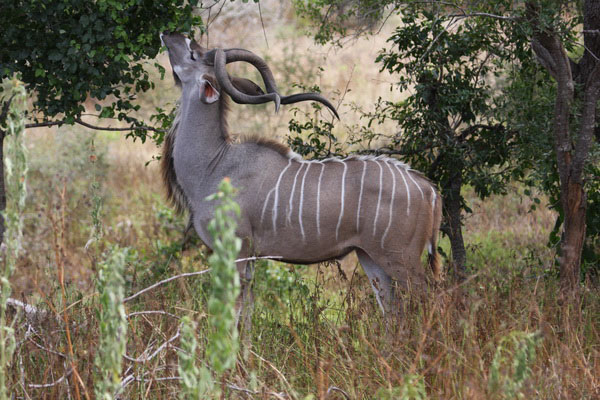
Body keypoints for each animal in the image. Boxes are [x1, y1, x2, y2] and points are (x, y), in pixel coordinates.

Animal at [159, 32, 440, 324]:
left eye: (192, 53)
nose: (171, 34)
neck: (215, 164)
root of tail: (429, 189)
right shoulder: (249, 261)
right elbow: (246, 314)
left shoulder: (235, 252)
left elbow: (233, 313)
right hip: (371, 257)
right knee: (392, 311)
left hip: (401, 259)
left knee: (432, 300)